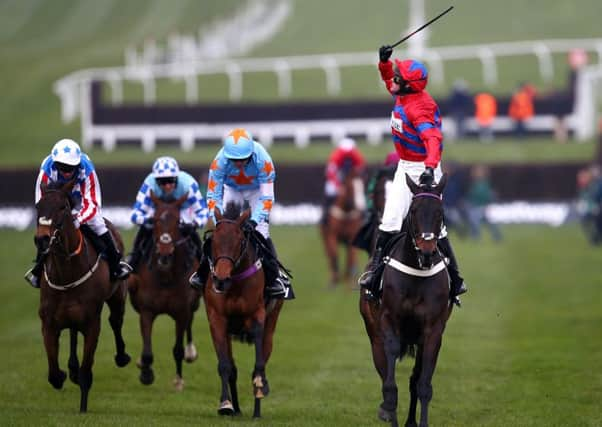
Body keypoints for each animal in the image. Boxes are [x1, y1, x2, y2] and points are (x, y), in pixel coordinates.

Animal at [34, 180, 130, 412]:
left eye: (62, 207)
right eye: (38, 206)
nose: (42, 239)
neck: (67, 273)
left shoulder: (92, 322)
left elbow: (87, 371)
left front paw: (83, 408)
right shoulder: (48, 322)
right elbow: (53, 374)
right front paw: (63, 374)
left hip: (117, 296)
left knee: (115, 321)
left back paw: (121, 356)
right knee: (73, 331)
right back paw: (72, 369)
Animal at [126, 192, 202, 392]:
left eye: (178, 222)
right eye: (156, 220)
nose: (165, 253)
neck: (165, 277)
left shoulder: (182, 311)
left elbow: (178, 349)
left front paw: (178, 380)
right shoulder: (147, 311)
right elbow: (147, 350)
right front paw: (146, 374)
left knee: (191, 321)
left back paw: (191, 352)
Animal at [204, 203, 284, 418]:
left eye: (239, 241)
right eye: (213, 241)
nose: (221, 279)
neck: (235, 282)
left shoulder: (257, 314)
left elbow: (258, 362)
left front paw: (260, 386)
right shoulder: (217, 319)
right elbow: (225, 366)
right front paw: (225, 404)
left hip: (272, 323)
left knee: (264, 352)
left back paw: (256, 409)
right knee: (232, 368)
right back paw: (237, 409)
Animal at [358, 175, 452, 427]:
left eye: (440, 213)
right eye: (414, 211)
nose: (428, 252)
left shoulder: (433, 330)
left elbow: (423, 385)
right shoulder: (389, 322)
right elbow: (390, 385)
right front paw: (388, 411)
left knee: (414, 378)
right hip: (373, 332)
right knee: (383, 371)